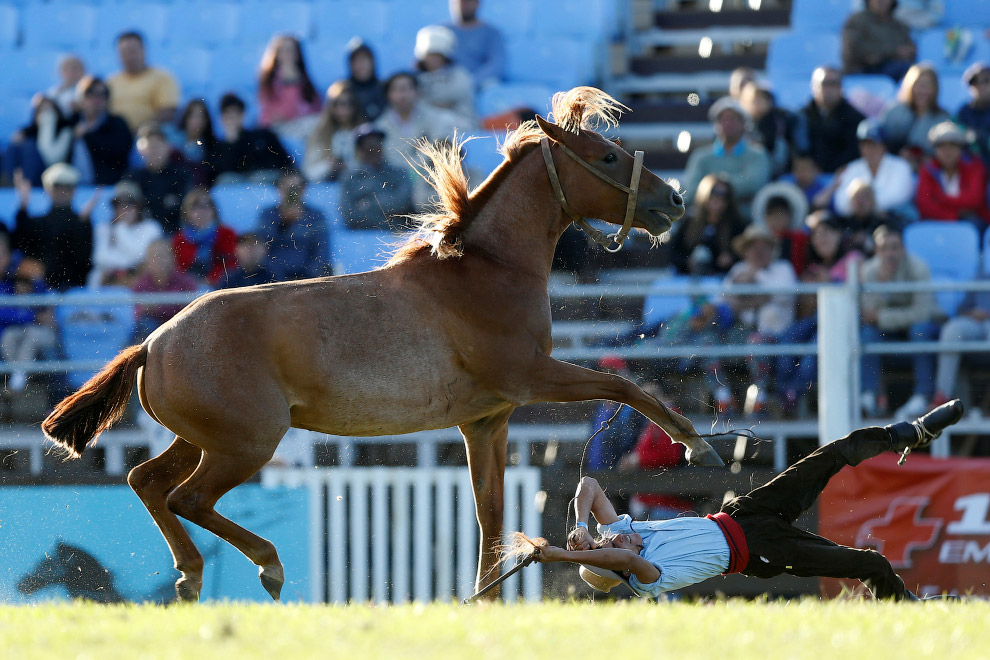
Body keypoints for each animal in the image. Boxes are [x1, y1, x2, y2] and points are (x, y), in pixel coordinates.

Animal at [42, 87, 724, 604]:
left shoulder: (488, 420)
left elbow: (491, 516)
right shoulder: (532, 376)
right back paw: (266, 565)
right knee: (186, 497)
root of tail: (155, 342)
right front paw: (698, 444)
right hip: (245, 444)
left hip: (206, 438)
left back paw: (190, 576)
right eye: (607, 156)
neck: (485, 270)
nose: (672, 201)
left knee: (147, 481)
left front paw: (486, 597)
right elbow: (625, 384)